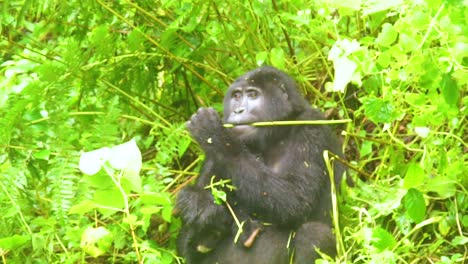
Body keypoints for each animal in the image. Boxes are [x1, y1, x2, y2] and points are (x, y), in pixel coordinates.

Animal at [175, 66, 344, 264]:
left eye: (253, 95)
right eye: (236, 96)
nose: (238, 111)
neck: (277, 133)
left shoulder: (312, 123)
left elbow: (296, 201)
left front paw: (214, 134)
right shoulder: (212, 160)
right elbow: (183, 248)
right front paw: (201, 208)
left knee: (314, 233)